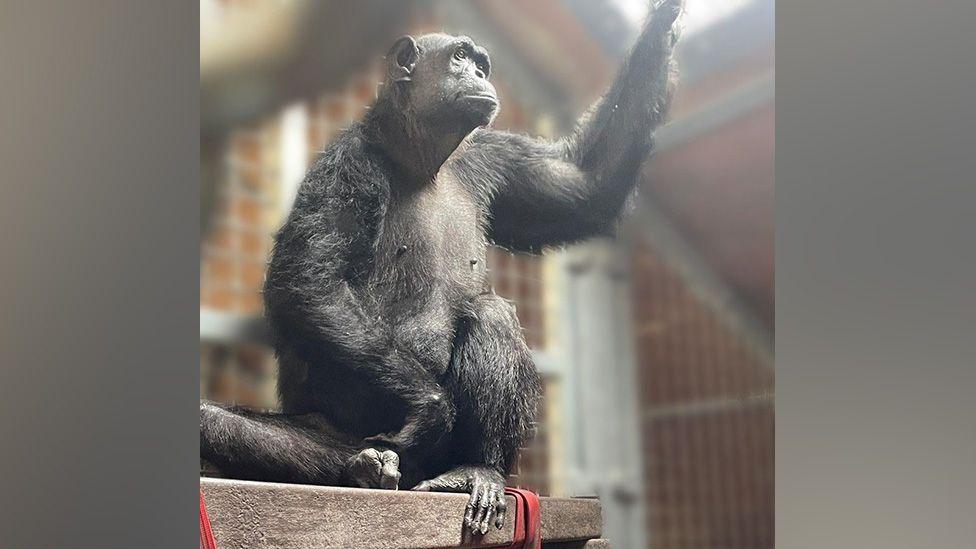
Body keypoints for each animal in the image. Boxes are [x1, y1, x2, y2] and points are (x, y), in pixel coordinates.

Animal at [202, 0, 684, 532]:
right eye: (458, 56)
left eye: (480, 63)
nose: (477, 74)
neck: (421, 157)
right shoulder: (344, 167)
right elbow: (308, 279)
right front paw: (429, 405)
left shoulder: (498, 159)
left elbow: (585, 185)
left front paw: (663, 20)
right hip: (355, 437)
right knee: (220, 422)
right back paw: (364, 470)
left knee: (490, 313)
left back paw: (475, 469)